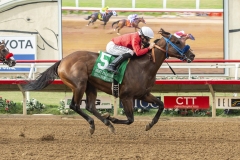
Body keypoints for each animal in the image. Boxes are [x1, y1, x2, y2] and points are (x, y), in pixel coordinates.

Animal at [22, 28, 195, 135]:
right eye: (178, 42)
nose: (192, 55)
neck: (144, 66)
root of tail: (62, 61)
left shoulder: (143, 94)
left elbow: (161, 105)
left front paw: (149, 124)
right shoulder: (126, 96)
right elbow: (130, 119)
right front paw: (112, 118)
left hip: (91, 86)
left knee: (90, 106)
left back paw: (106, 123)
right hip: (79, 84)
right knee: (75, 105)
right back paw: (97, 123)